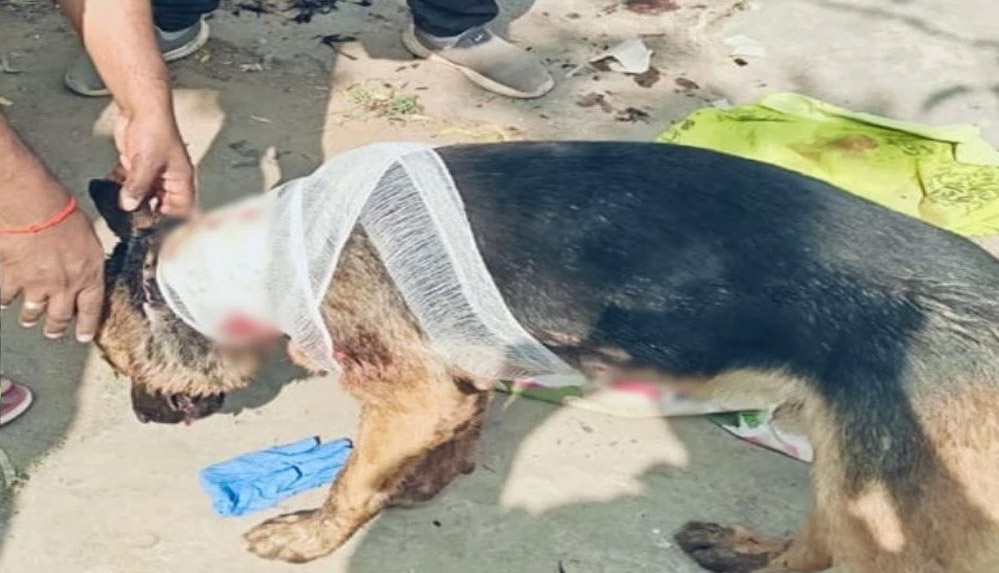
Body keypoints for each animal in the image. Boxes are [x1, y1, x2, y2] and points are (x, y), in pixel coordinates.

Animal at [90, 141, 999, 571]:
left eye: (110, 362)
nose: (141, 418)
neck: (273, 249)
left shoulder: (409, 392)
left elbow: (350, 480)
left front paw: (313, 533)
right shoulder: (454, 382)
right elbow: (456, 426)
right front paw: (423, 478)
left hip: (887, 501)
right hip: (852, 476)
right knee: (816, 543)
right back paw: (742, 551)